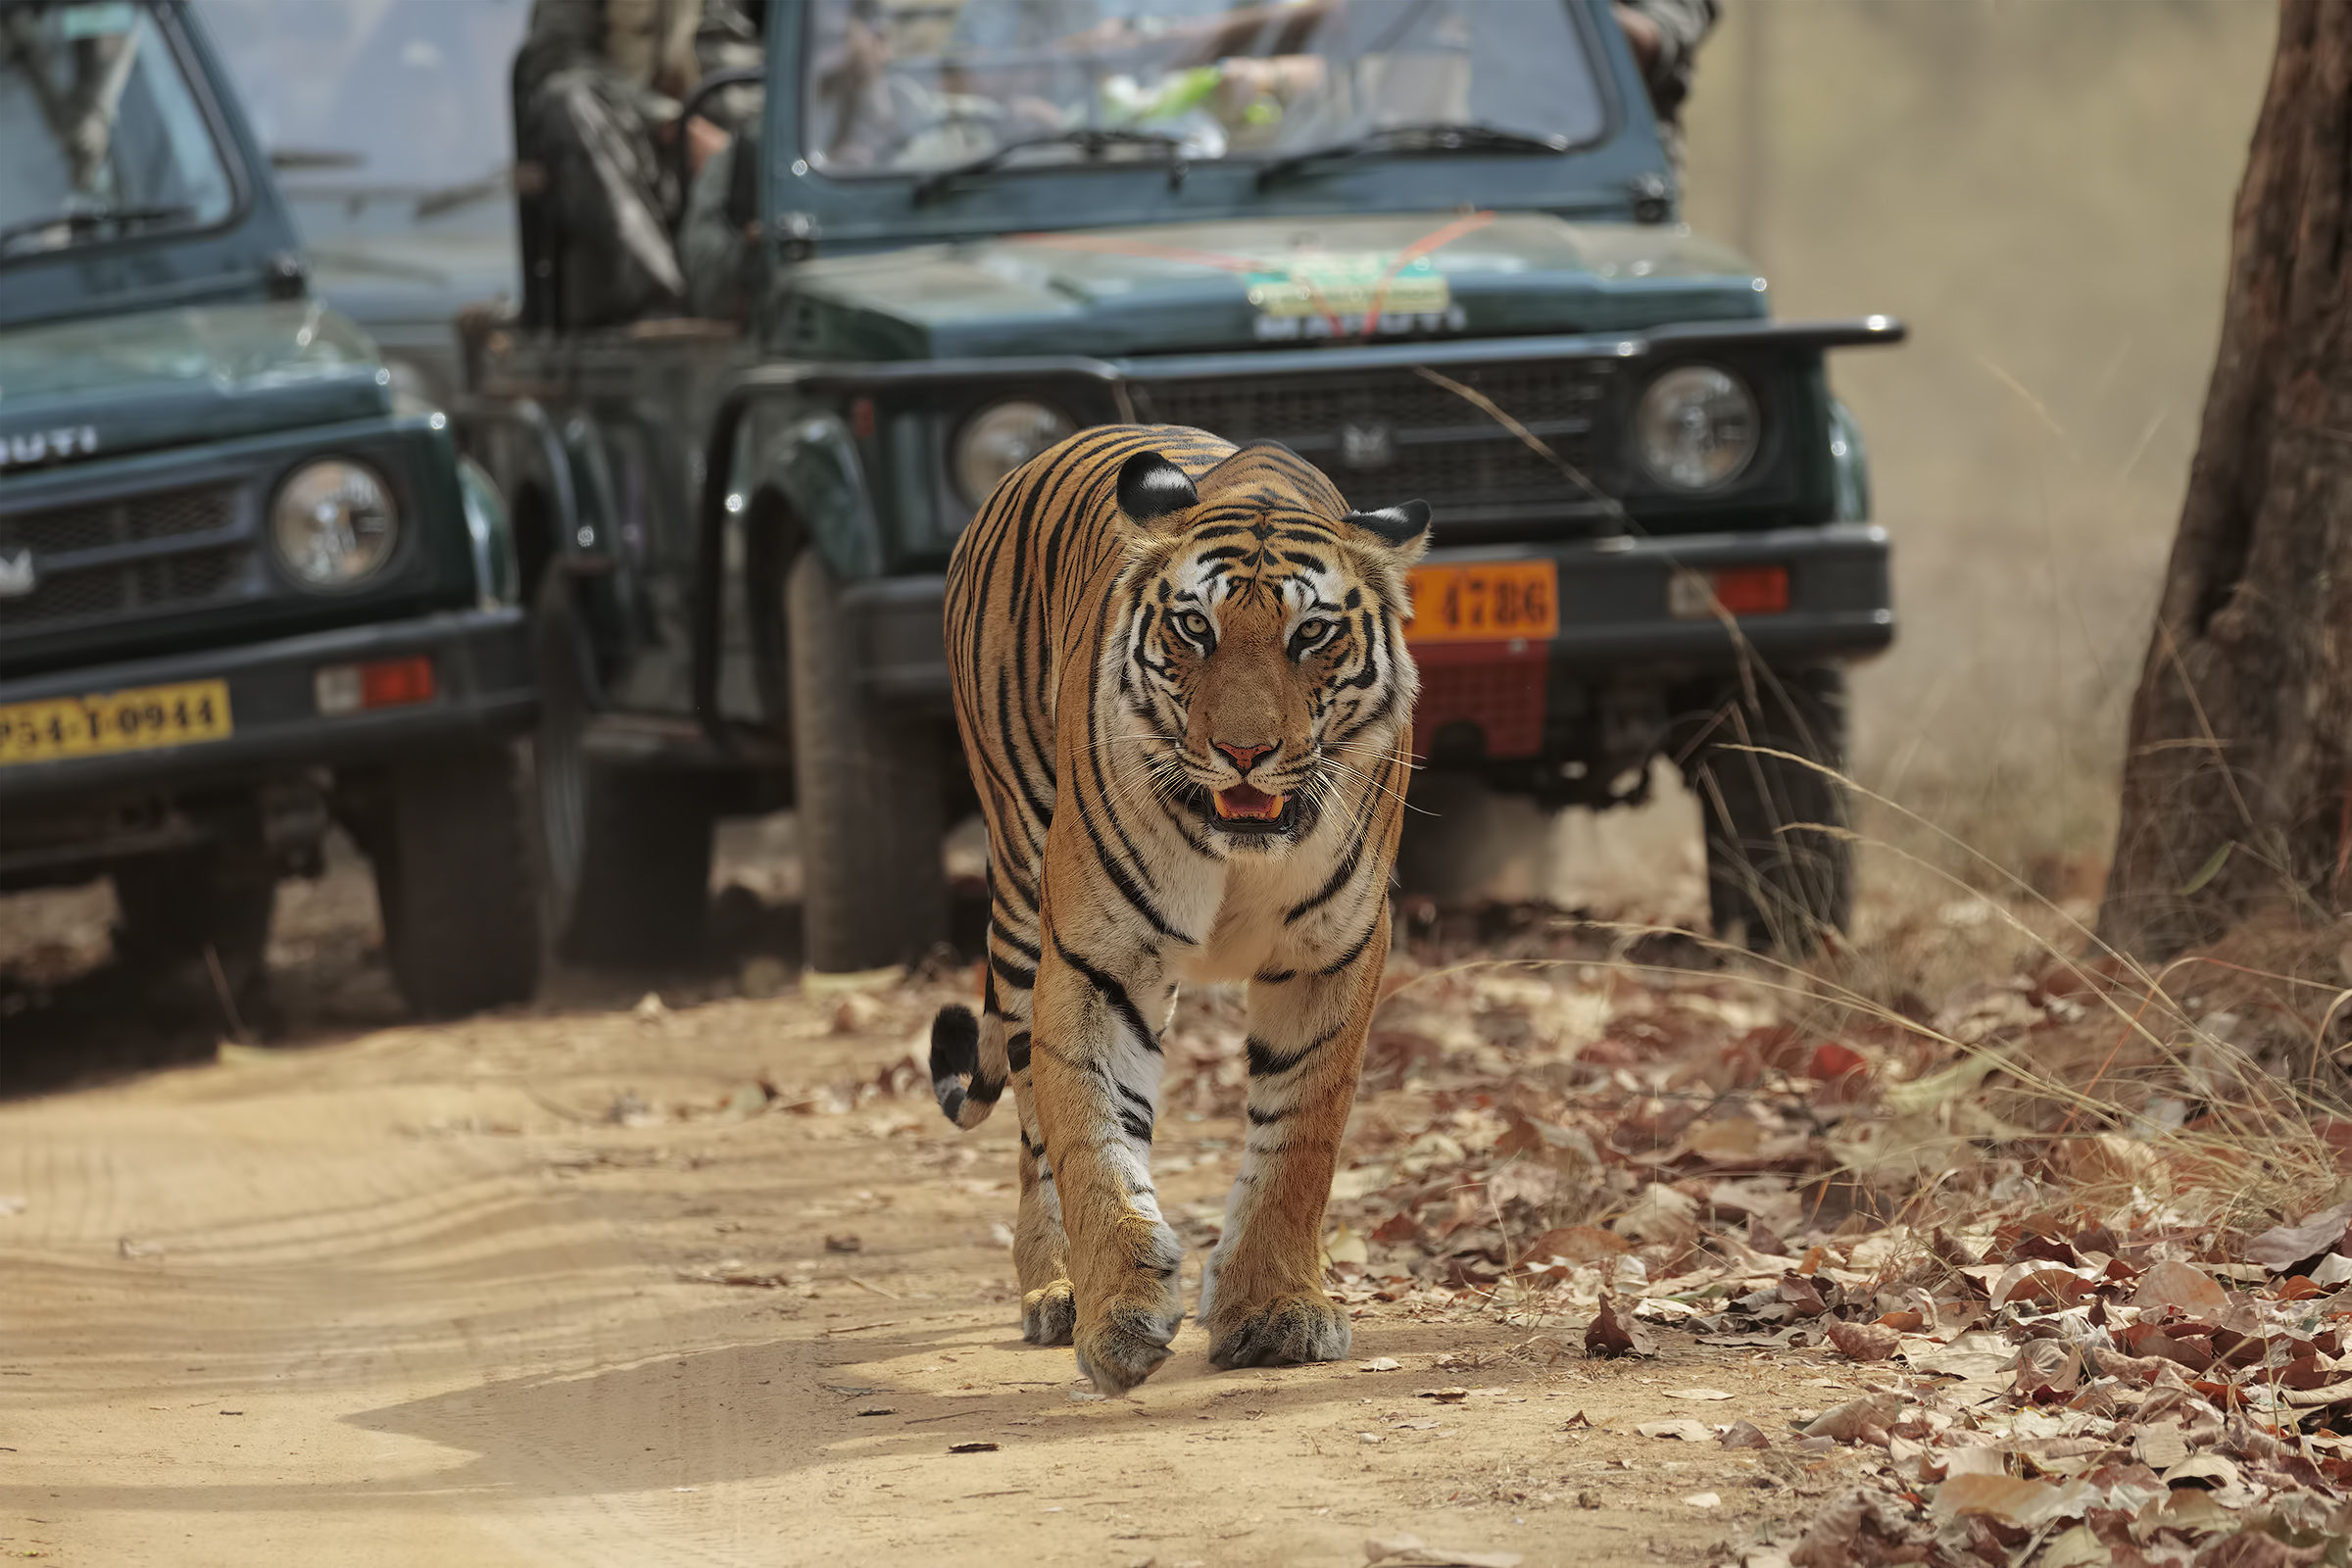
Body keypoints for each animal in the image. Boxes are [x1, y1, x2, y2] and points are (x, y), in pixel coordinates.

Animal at [928, 424, 1429, 1395]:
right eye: (1195, 627)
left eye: (1312, 633)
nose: (1243, 751)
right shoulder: (1096, 955)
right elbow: (1090, 1133)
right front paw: (1120, 1313)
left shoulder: (1334, 953)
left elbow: (1300, 1139)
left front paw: (1275, 1312)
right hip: (1020, 890)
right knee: (1032, 1123)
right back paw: (1054, 1289)